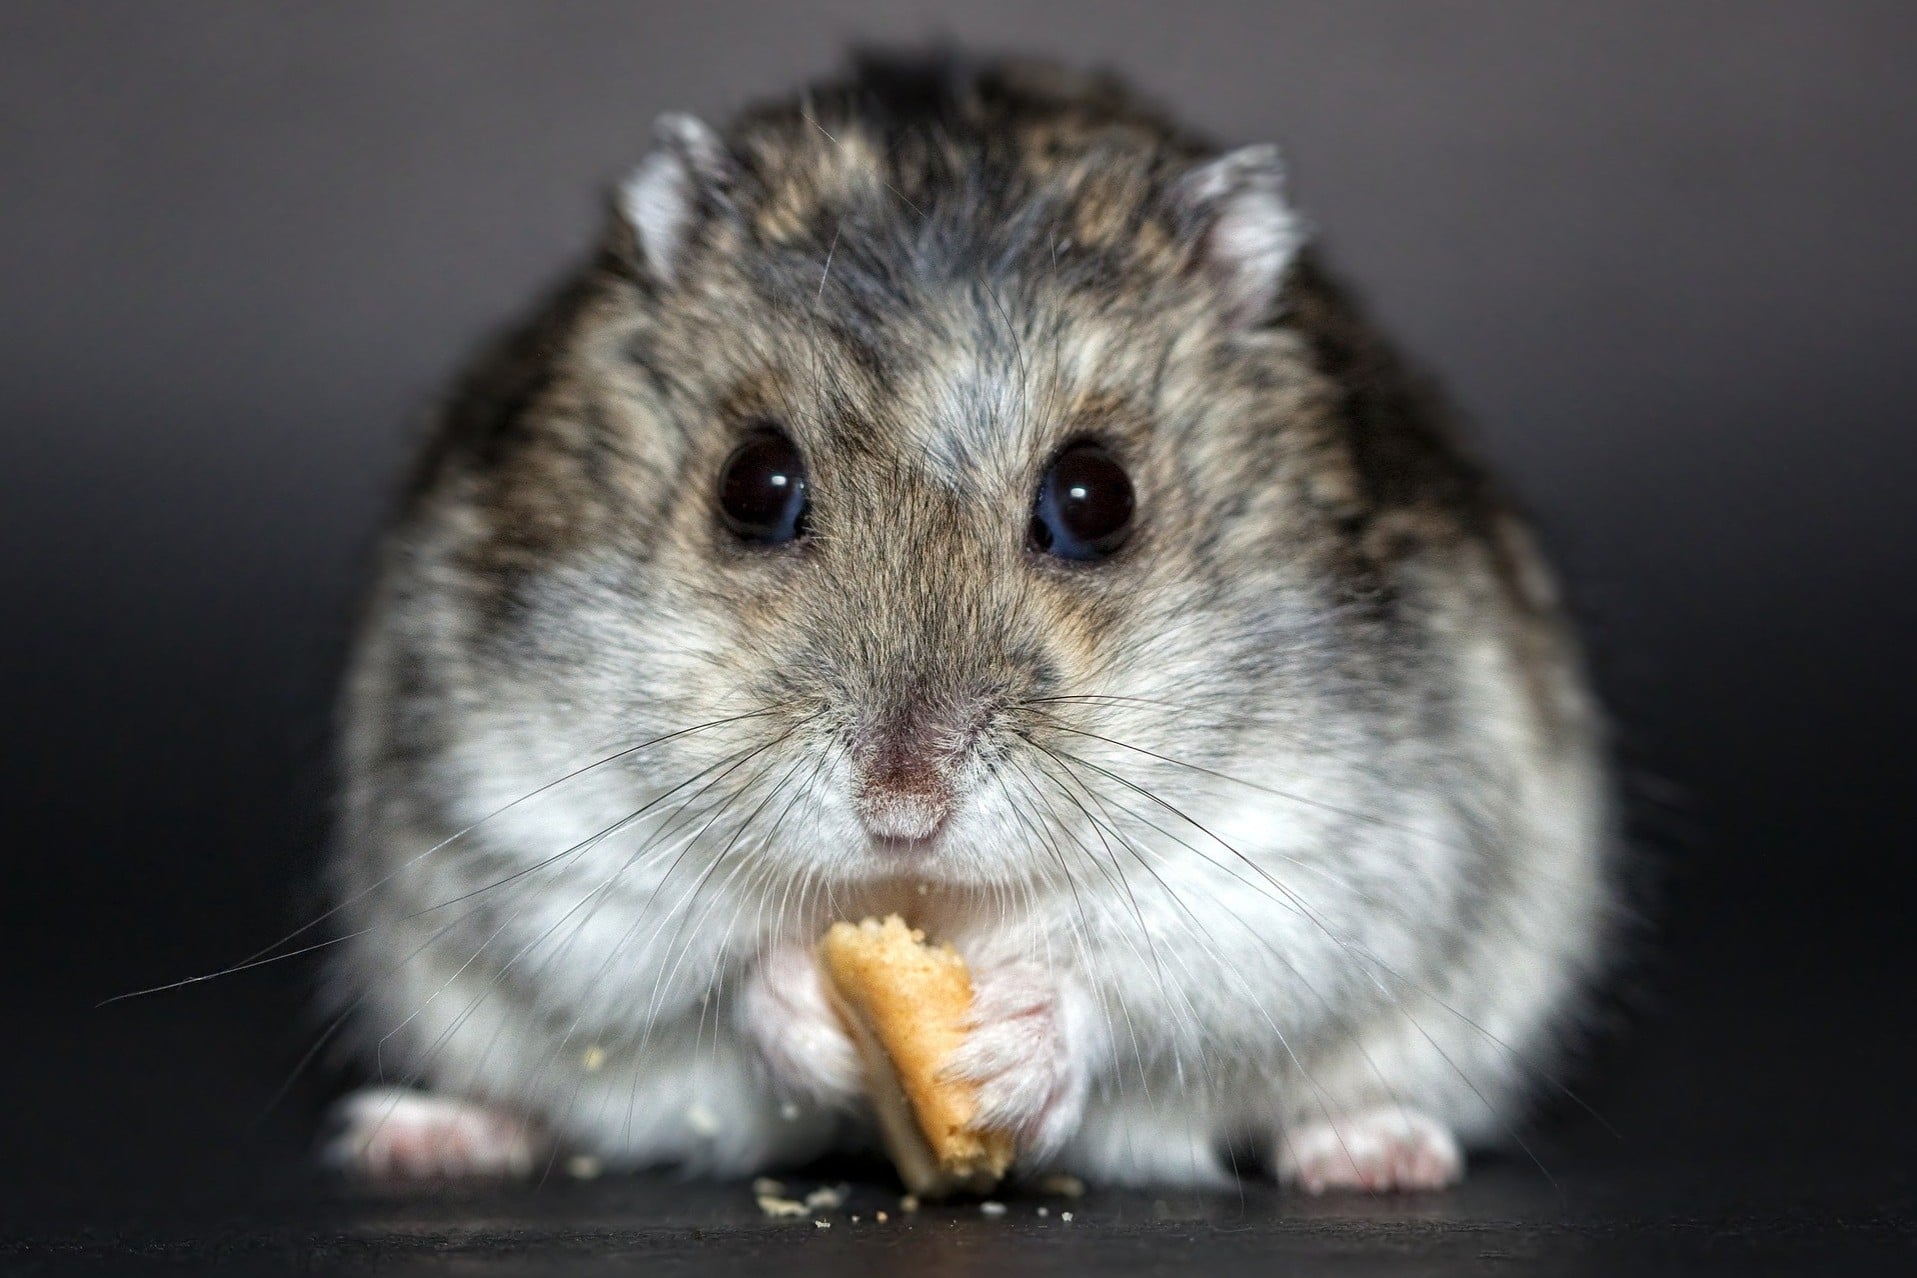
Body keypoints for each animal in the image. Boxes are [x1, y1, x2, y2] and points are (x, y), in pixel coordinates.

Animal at [323, 55, 1615, 1192]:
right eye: (753, 485)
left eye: (1096, 500)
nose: (904, 812)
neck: (932, 899)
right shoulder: (531, 823)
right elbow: (702, 965)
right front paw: (808, 1004)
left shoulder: (1317, 849)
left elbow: (1148, 971)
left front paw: (1006, 1048)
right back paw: (420, 1136)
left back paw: (1375, 1155)